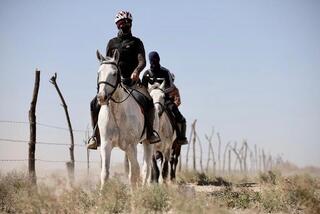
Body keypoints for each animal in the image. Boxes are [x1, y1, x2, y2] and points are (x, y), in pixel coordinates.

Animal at [95, 49, 153, 188]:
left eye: (114, 73)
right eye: (99, 73)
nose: (101, 97)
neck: (117, 113)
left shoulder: (131, 146)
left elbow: (134, 173)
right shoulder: (106, 144)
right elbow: (105, 173)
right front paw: (101, 194)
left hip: (147, 142)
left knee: (145, 168)